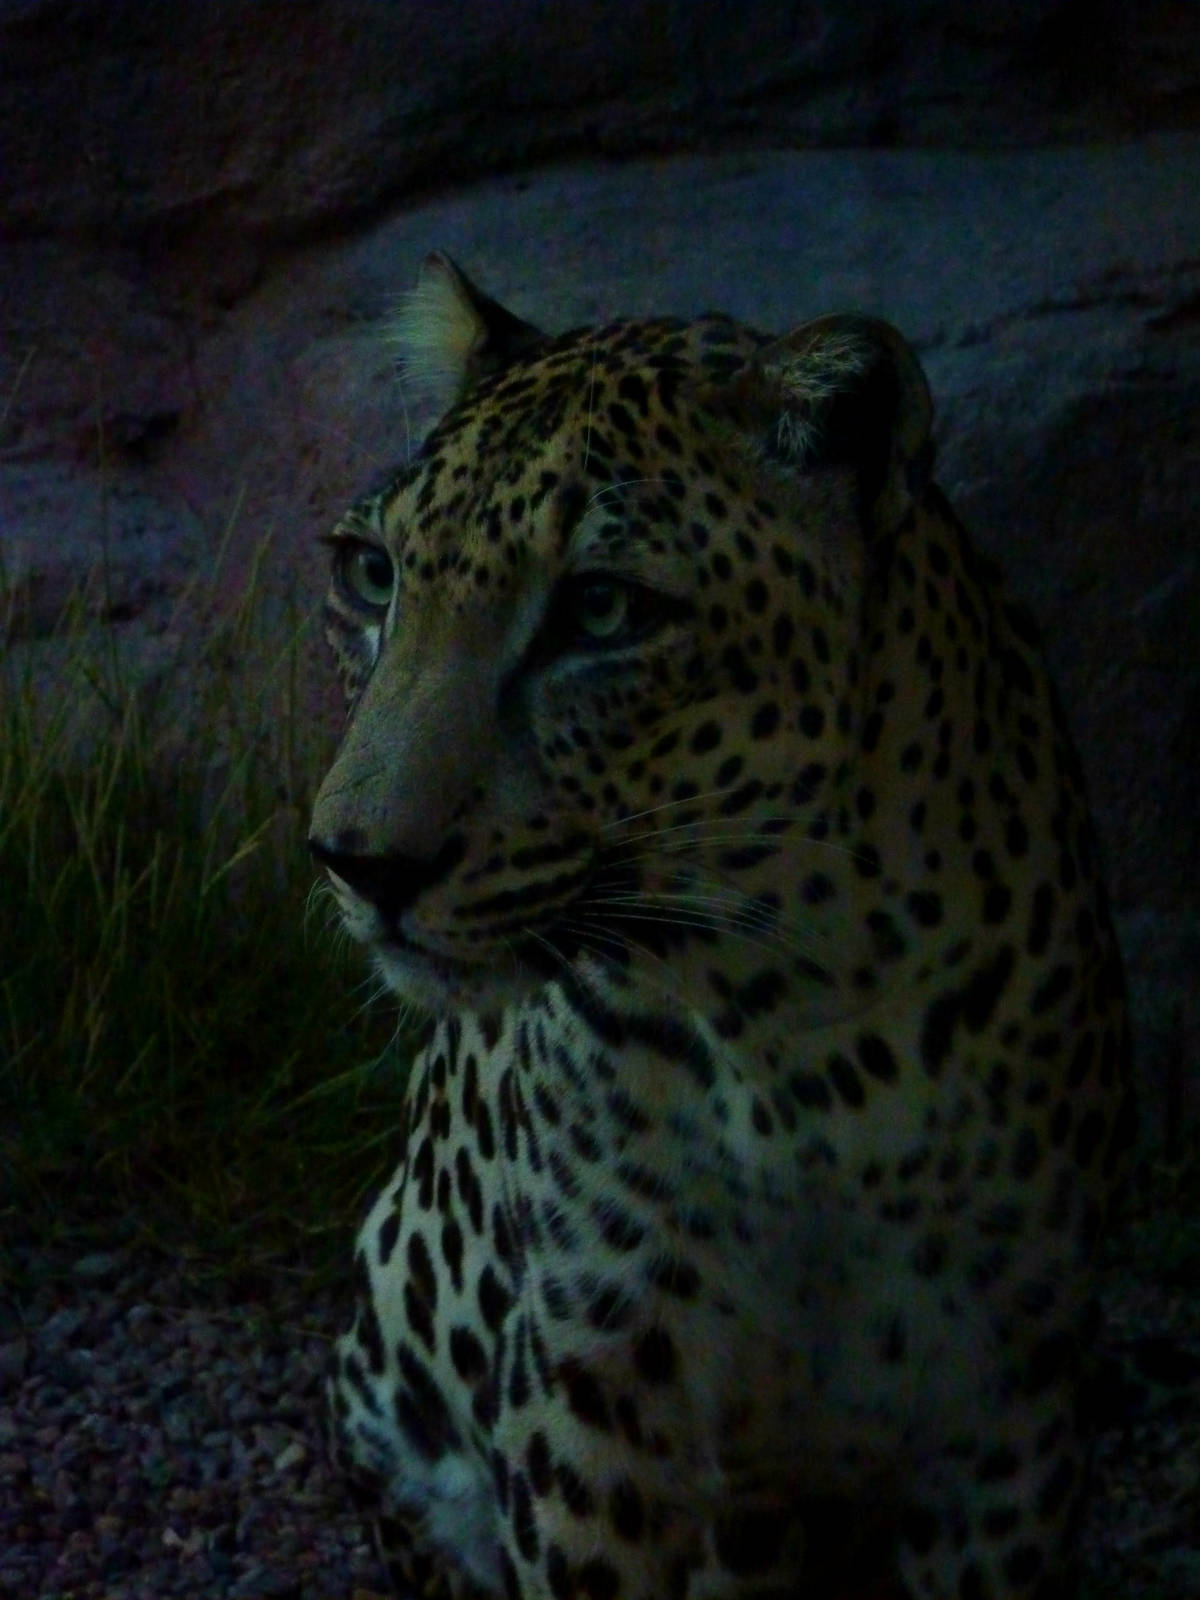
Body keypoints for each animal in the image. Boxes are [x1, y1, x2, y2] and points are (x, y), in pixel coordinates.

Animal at [308, 252, 1135, 1600]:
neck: (801, 1027)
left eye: (600, 611)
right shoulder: (598, 1383)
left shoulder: (1009, 1407)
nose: (359, 860)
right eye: (372, 576)